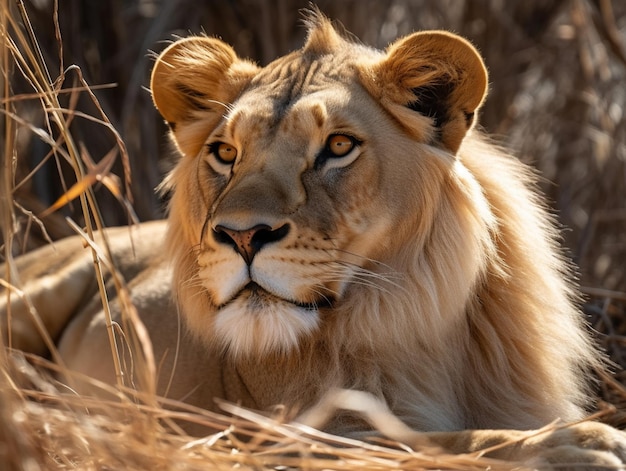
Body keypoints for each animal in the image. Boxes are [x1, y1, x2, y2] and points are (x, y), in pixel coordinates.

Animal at [1, 10, 624, 468]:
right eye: (225, 153)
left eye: (339, 147)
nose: (241, 235)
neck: (418, 324)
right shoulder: (277, 431)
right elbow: (421, 440)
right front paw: (572, 445)